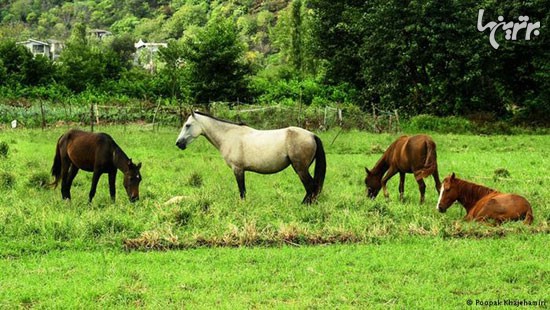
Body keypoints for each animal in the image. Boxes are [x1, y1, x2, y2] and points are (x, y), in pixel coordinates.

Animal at [176, 111, 328, 203]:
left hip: (300, 169)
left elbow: (242, 191)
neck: (229, 136)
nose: (178, 143)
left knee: (311, 186)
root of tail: (312, 135)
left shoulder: (238, 169)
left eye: (187, 125)